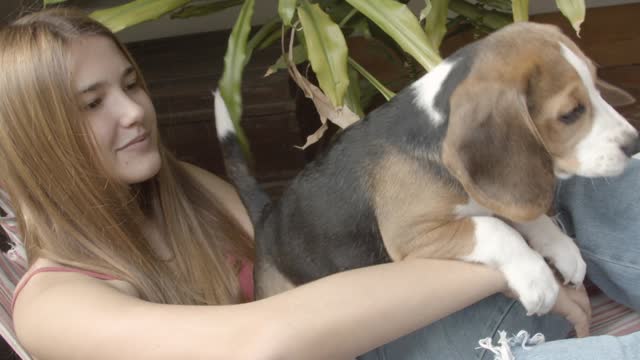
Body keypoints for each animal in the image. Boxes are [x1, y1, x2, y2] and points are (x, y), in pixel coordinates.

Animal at [216, 21, 640, 316]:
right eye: (570, 114)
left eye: (598, 86)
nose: (633, 144)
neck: (435, 126)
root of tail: (267, 216)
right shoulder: (412, 234)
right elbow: (496, 229)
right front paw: (536, 278)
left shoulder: (492, 192)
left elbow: (527, 217)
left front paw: (563, 249)